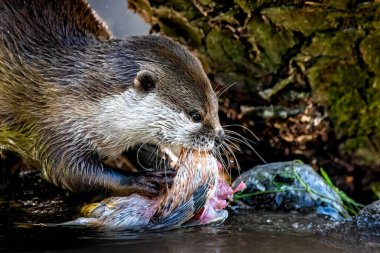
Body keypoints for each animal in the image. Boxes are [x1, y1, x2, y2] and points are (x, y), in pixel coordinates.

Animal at [0, 0, 224, 197]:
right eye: (195, 115)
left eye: (216, 107)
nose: (219, 136)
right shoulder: (55, 124)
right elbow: (66, 170)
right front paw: (143, 179)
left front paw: (167, 163)